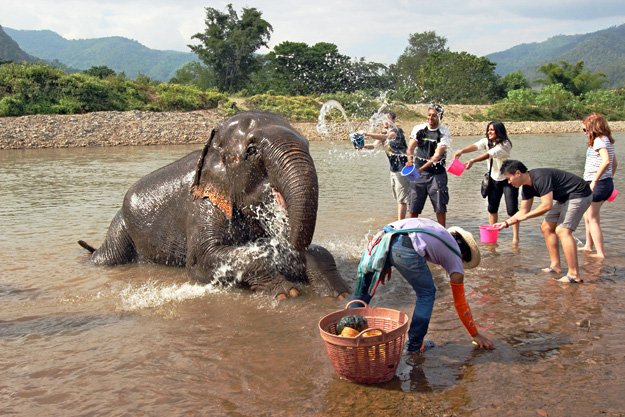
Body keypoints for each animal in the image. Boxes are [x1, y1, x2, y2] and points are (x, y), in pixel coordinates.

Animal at [77, 111, 348, 300]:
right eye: (252, 151)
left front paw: (339, 292)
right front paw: (285, 293)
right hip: (121, 225)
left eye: (308, 145)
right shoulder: (202, 204)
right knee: (108, 256)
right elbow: (201, 259)